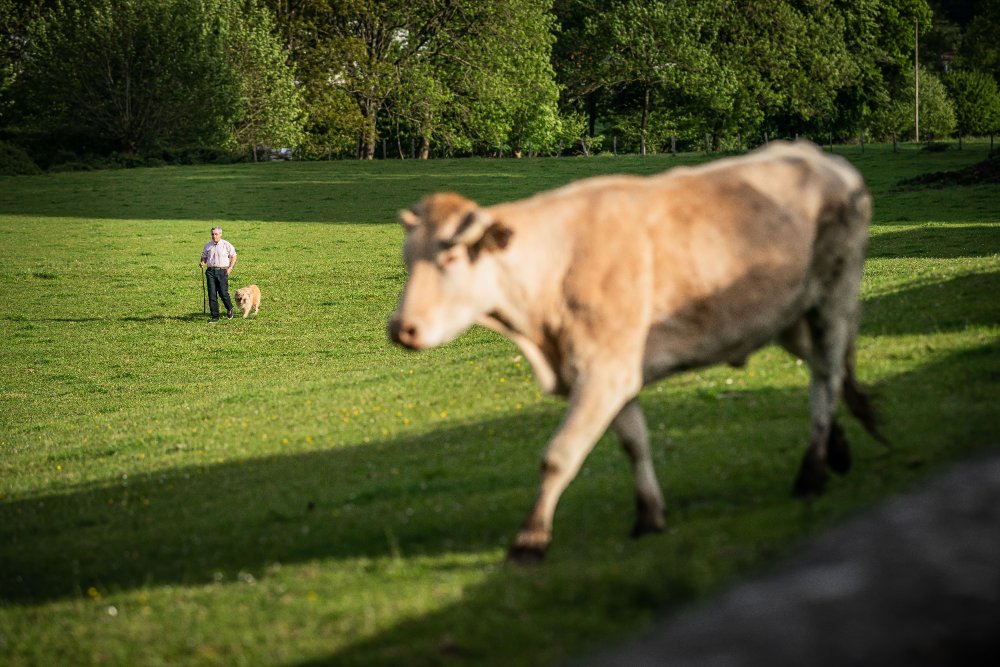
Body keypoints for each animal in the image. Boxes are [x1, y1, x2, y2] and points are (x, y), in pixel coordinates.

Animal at [388, 141, 884, 564]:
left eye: (450, 258)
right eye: (407, 259)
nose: (401, 328)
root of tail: (820, 157)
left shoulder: (603, 370)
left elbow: (559, 454)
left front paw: (530, 540)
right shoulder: (612, 369)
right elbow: (633, 442)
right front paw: (649, 517)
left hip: (833, 294)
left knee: (826, 373)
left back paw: (814, 470)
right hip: (785, 312)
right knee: (827, 367)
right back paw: (843, 442)